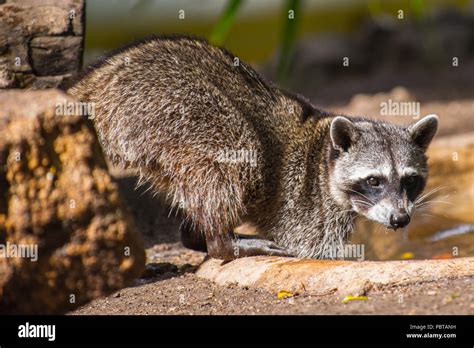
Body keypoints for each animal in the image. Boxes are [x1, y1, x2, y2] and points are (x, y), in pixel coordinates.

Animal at [68, 36, 438, 258]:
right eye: (374, 180)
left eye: (410, 180)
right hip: (169, 106)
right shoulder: (307, 205)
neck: (323, 155)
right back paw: (220, 243)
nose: (401, 219)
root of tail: (97, 81)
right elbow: (310, 246)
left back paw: (196, 236)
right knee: (238, 151)